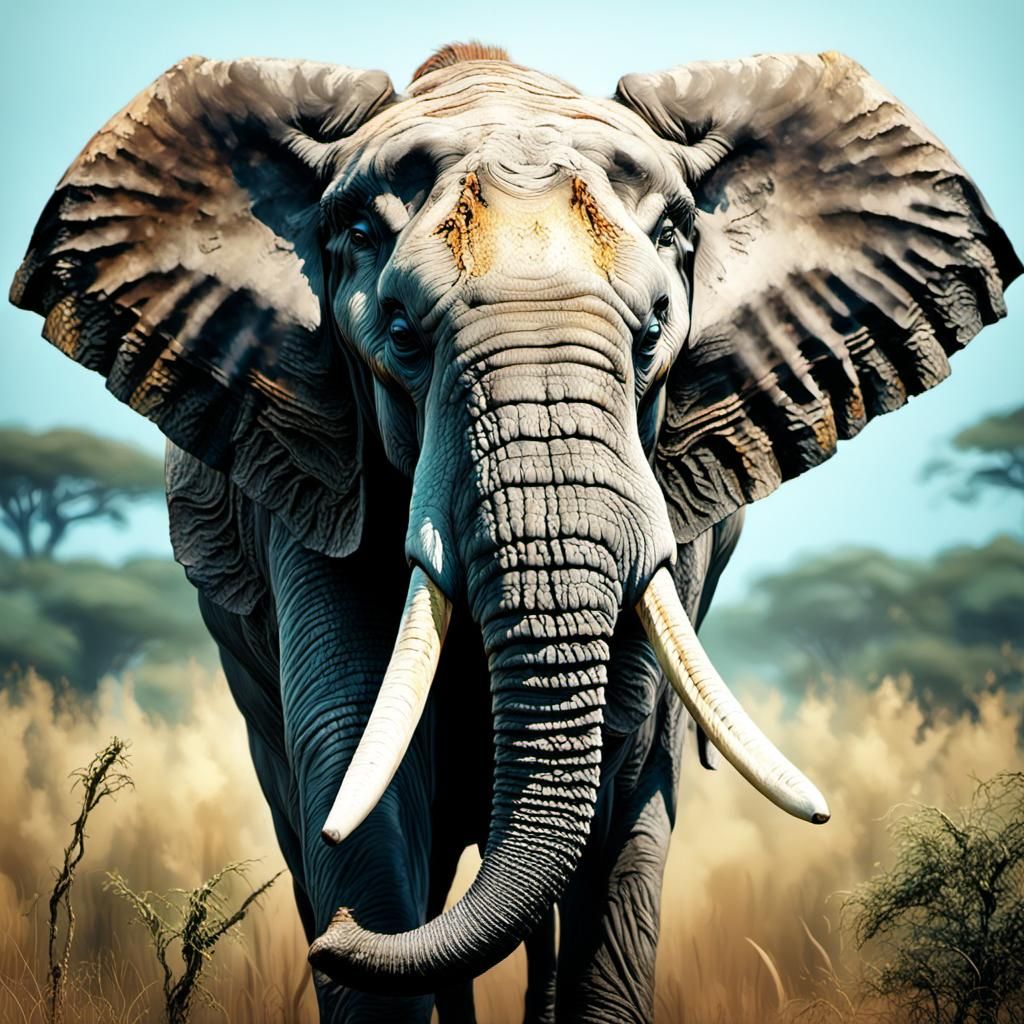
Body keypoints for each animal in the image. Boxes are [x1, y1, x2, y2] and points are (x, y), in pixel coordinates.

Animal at [11, 40, 1019, 1022]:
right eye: (401, 335)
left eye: (654, 335)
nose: (332, 941)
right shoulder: (314, 471)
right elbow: (354, 764)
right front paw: (358, 919)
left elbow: (623, 773)